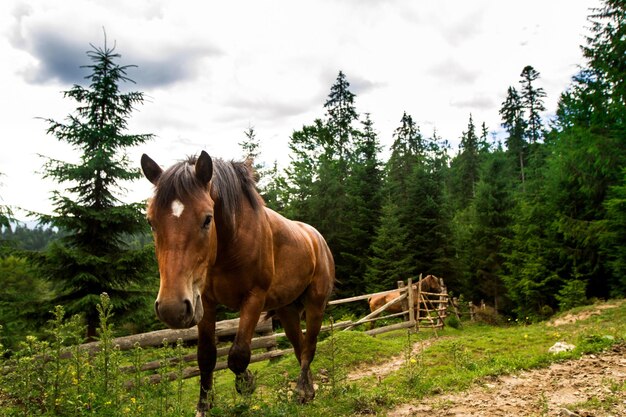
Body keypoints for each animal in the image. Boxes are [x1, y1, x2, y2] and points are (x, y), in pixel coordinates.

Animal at [140, 151, 334, 414]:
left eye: (207, 219)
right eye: (151, 222)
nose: (172, 309)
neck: (231, 244)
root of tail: (317, 238)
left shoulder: (254, 297)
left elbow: (238, 355)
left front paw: (247, 383)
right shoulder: (206, 302)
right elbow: (206, 356)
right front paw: (204, 405)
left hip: (315, 304)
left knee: (309, 347)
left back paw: (302, 391)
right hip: (287, 310)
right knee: (299, 345)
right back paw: (309, 390)